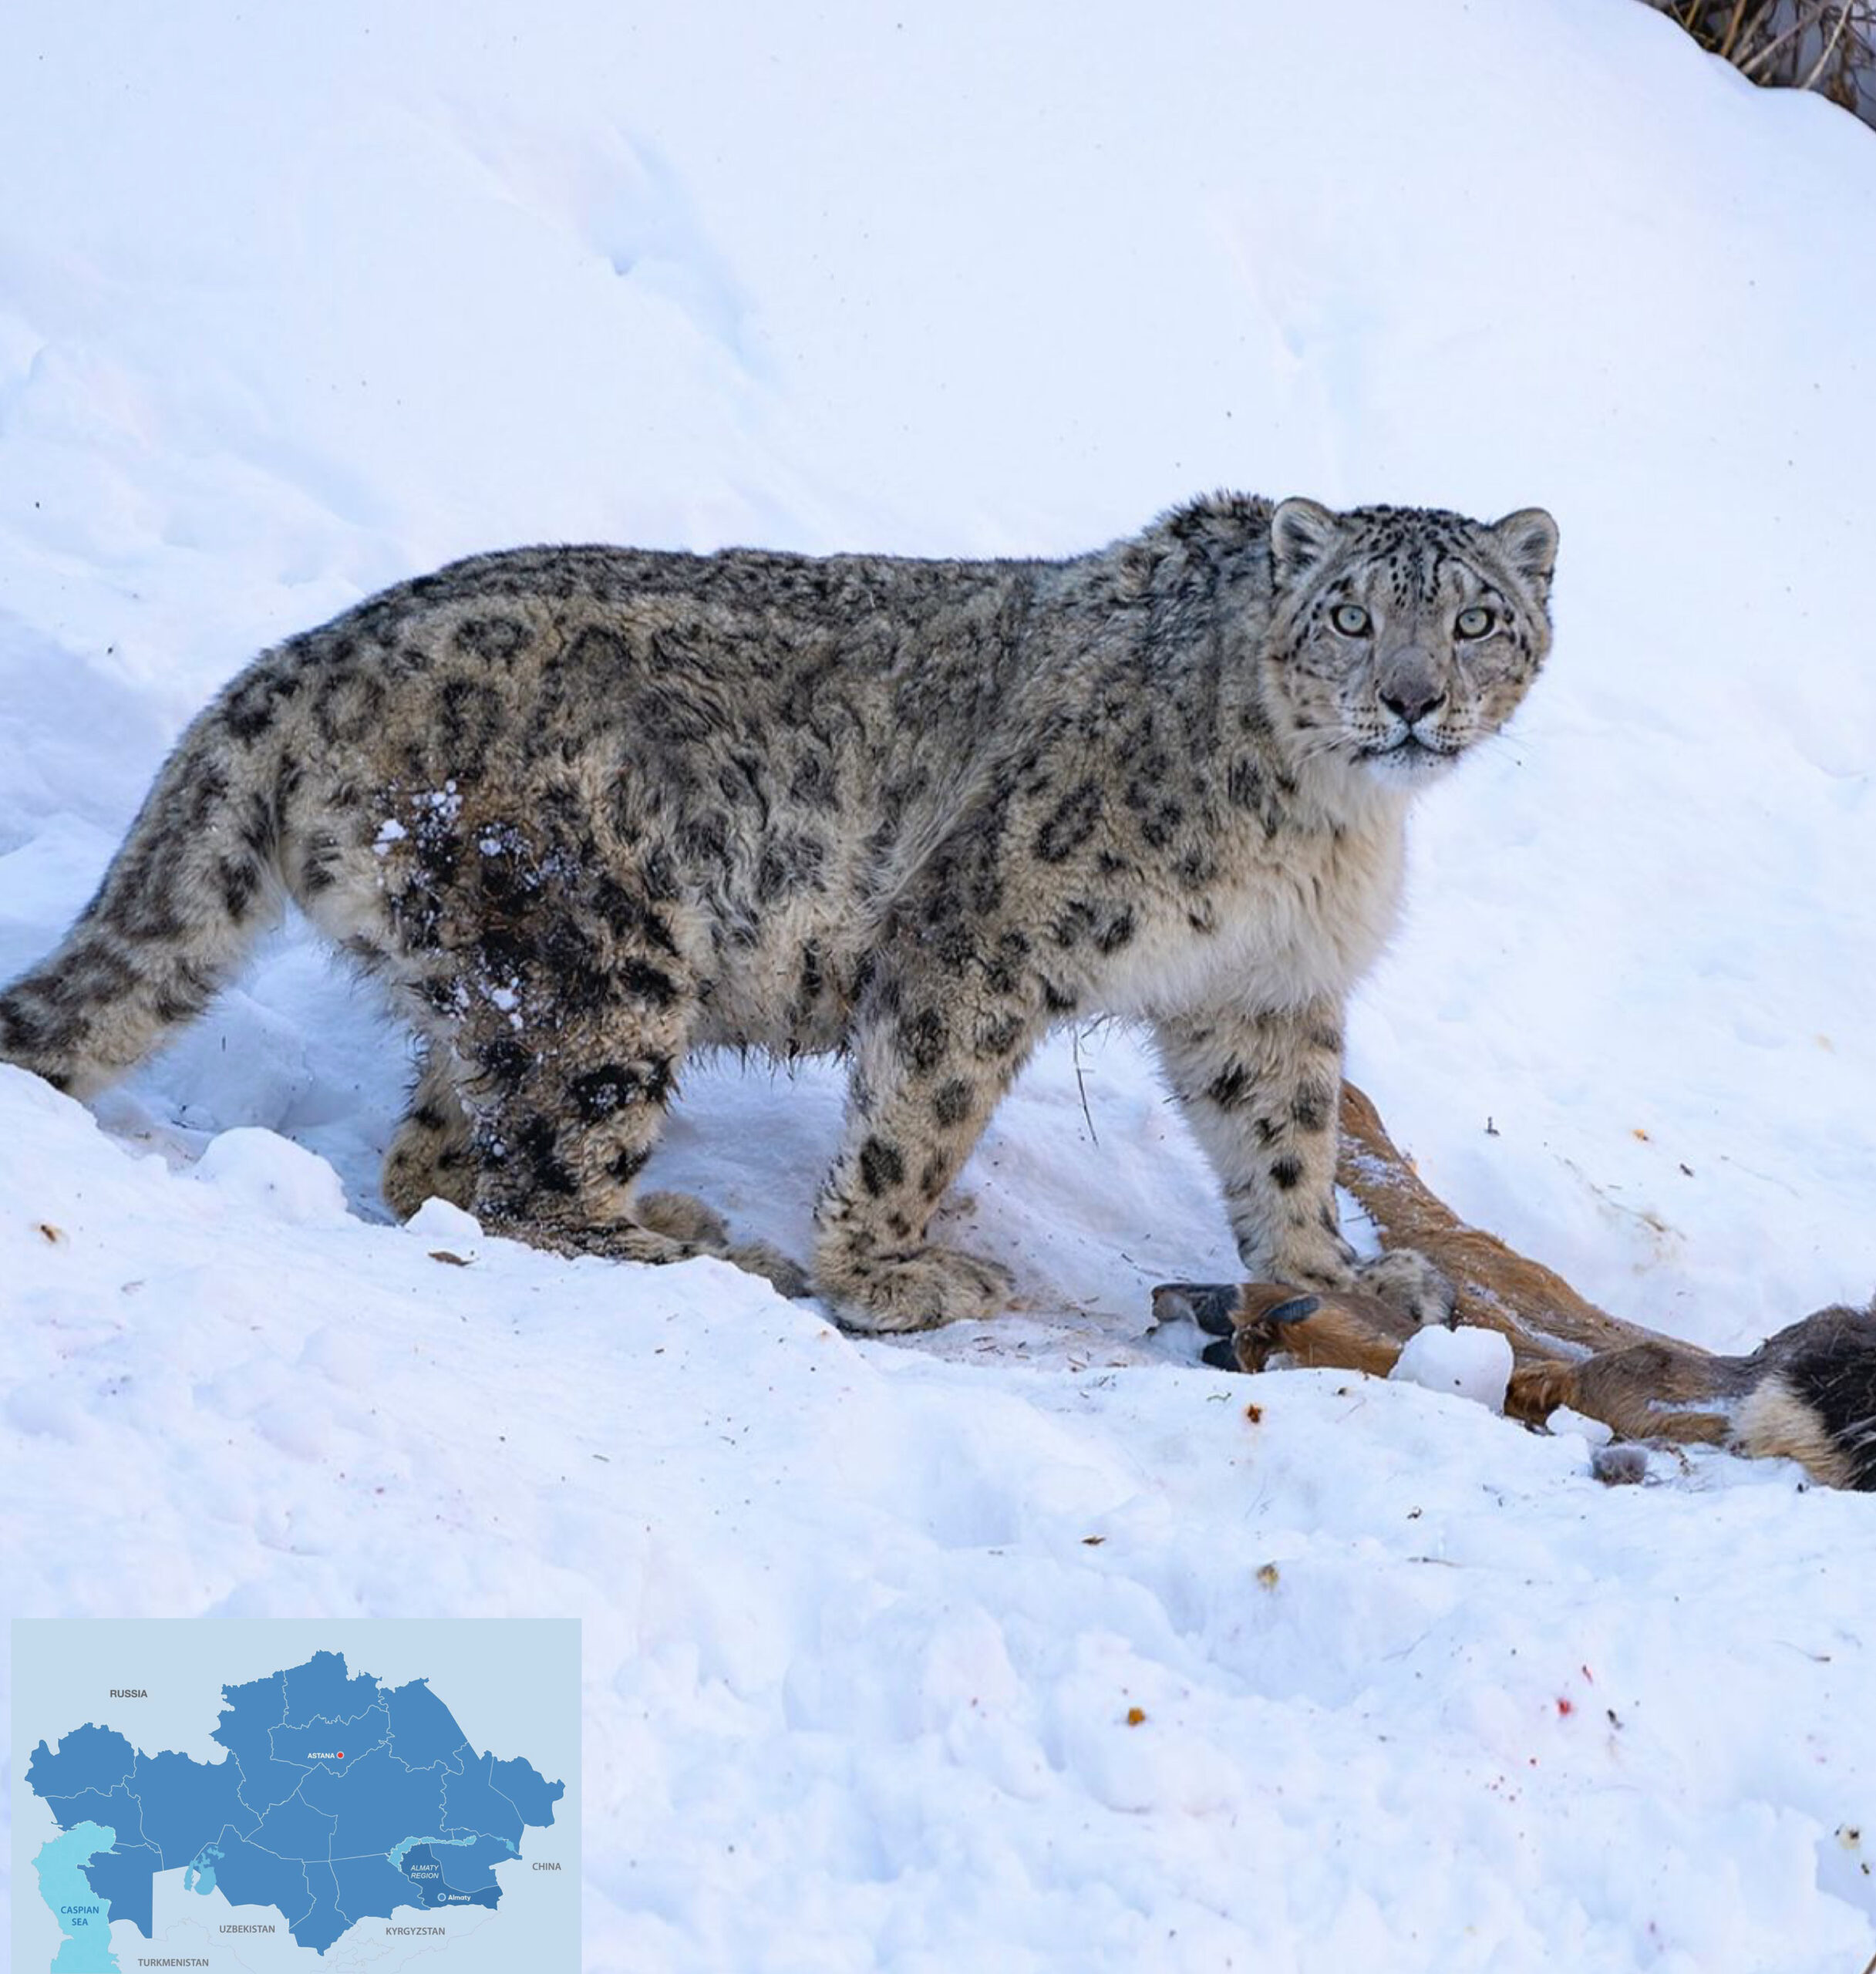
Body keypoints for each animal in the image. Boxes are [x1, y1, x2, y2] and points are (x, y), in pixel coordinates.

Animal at [0, 491, 1558, 1332]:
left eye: (1475, 620)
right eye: (1351, 616)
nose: (1410, 698)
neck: (1319, 826)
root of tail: (297, 661)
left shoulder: (1262, 993)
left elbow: (1285, 1139)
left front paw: (1332, 1278)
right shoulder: (982, 934)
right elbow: (918, 1117)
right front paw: (889, 1278)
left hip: (495, 969)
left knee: (440, 1156)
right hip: (596, 955)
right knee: (534, 1184)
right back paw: (697, 1245)